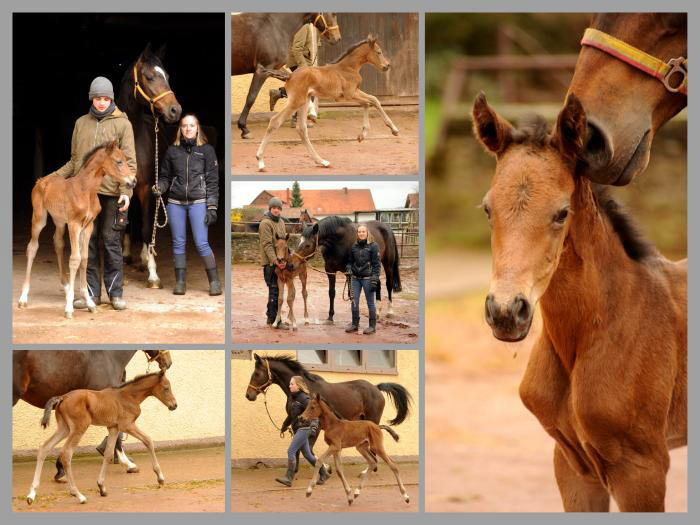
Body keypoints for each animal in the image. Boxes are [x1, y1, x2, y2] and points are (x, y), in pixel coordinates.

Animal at [17, 139, 136, 318]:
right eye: (119, 161)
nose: (133, 181)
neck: (86, 190)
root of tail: (41, 180)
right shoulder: (74, 224)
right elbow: (74, 259)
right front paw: (68, 308)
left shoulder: (88, 225)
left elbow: (85, 259)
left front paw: (89, 303)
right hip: (39, 218)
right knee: (32, 248)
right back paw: (23, 298)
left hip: (59, 221)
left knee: (58, 243)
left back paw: (67, 288)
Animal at [28, 368, 178, 504]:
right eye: (166, 388)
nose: (174, 405)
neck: (129, 396)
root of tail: (62, 397)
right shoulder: (127, 425)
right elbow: (149, 441)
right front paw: (160, 478)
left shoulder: (113, 428)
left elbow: (108, 454)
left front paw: (101, 487)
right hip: (79, 428)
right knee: (66, 453)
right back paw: (78, 495)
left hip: (64, 428)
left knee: (44, 448)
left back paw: (31, 495)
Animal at [256, 34, 400, 170]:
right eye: (379, 52)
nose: (387, 66)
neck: (348, 68)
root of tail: (290, 76)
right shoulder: (349, 95)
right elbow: (373, 101)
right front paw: (394, 129)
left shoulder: (353, 93)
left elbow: (370, 101)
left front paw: (362, 136)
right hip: (296, 101)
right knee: (275, 121)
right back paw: (260, 161)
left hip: (304, 102)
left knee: (301, 129)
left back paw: (322, 161)